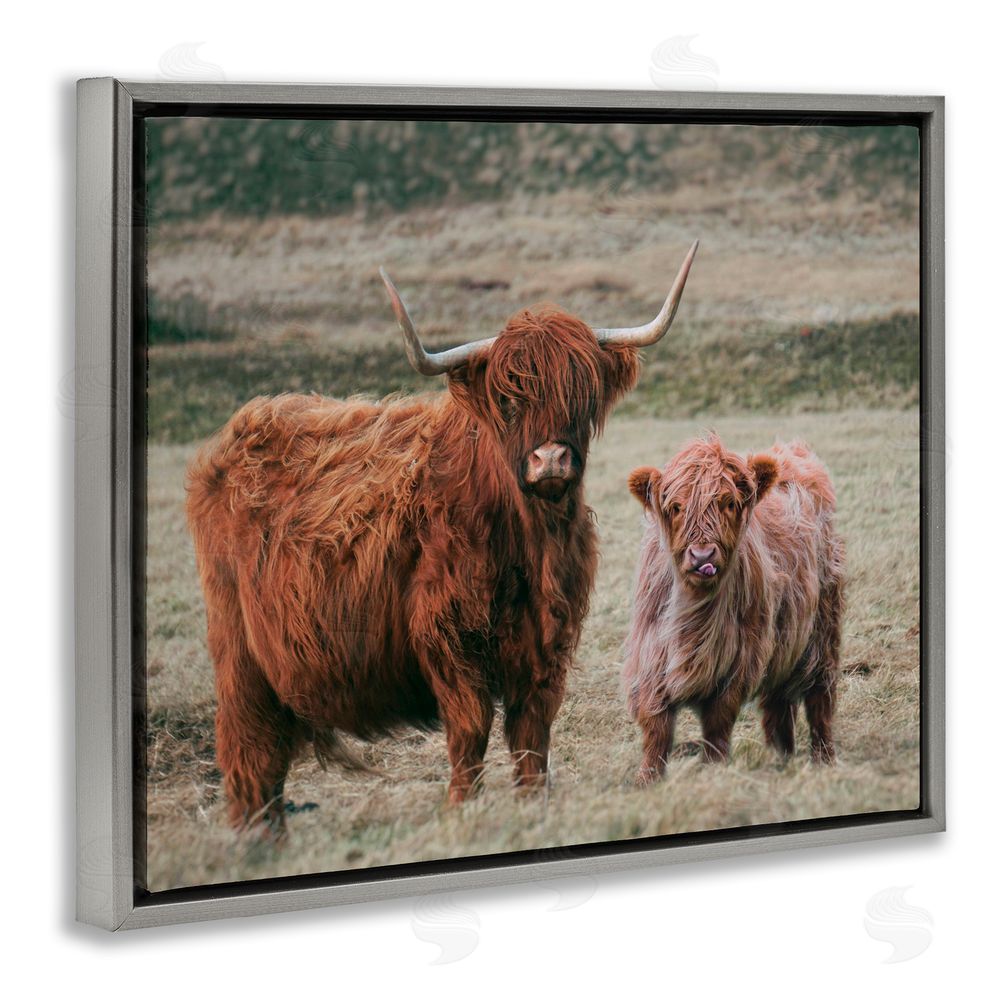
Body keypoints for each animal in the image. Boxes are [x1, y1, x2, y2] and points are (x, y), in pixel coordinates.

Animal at [186, 242, 699, 835]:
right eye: (508, 399)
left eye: (582, 393)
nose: (550, 459)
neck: (529, 544)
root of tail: (241, 429)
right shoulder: (448, 636)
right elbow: (470, 728)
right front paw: (459, 810)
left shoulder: (547, 643)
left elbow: (532, 735)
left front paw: (532, 807)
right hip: (238, 650)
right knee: (248, 748)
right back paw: (256, 839)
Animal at [623, 434, 844, 785]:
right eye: (676, 507)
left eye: (728, 503)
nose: (702, 556)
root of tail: (791, 450)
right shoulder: (651, 656)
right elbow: (656, 726)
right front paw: (648, 779)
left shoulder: (738, 662)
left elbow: (717, 724)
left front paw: (713, 769)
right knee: (778, 703)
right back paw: (781, 758)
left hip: (823, 630)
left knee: (820, 698)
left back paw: (824, 760)